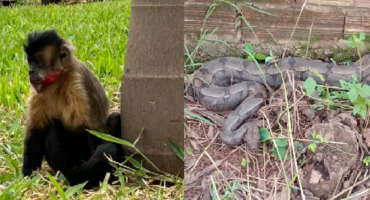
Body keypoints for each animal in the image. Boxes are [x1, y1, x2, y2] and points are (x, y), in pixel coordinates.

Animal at [22, 29, 123, 189]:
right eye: (30, 61)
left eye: (37, 62)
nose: (30, 71)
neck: (59, 80)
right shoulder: (37, 91)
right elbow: (35, 130)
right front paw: (28, 174)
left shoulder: (78, 83)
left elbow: (95, 130)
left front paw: (99, 175)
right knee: (53, 123)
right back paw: (64, 170)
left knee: (113, 119)